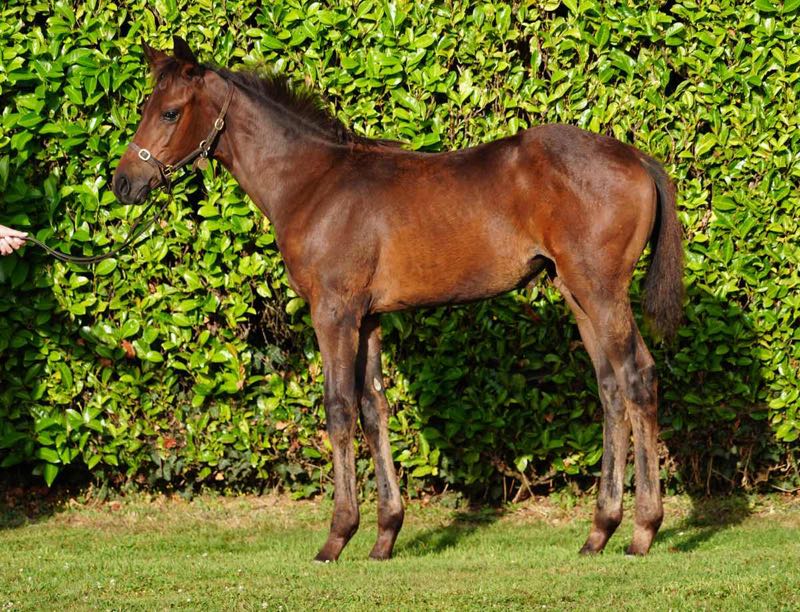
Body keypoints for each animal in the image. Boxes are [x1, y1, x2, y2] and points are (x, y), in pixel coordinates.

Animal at [113, 36, 683, 561]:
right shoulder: (367, 318)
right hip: (576, 294)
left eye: (169, 112)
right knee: (610, 389)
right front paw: (384, 535)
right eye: (145, 107)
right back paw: (599, 532)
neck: (314, 183)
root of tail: (637, 157)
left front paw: (337, 537)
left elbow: (339, 407)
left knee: (638, 378)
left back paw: (642, 530)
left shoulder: (334, 312)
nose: (123, 184)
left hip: (602, 291)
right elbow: (374, 408)